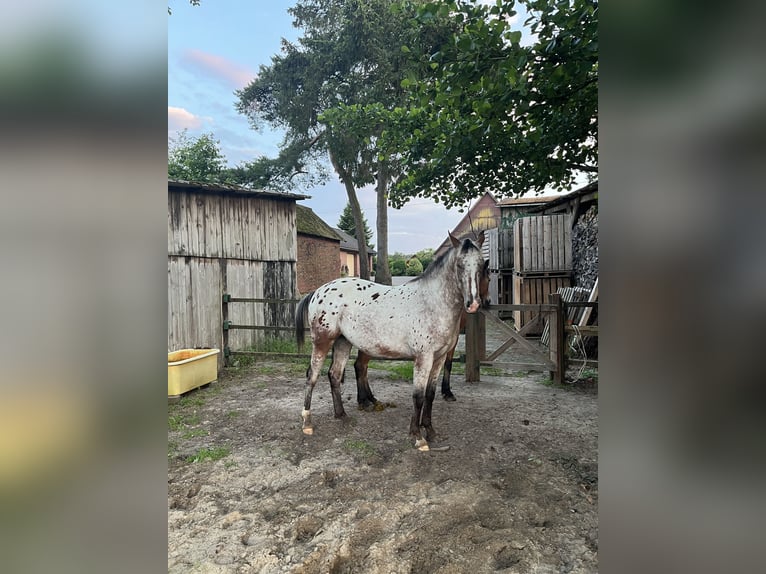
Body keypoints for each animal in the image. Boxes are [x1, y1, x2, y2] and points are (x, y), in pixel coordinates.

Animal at [354, 258, 492, 408]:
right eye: (489, 279)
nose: (488, 301)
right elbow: (448, 364)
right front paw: (447, 392)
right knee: (360, 366)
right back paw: (364, 400)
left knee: (362, 366)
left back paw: (370, 398)